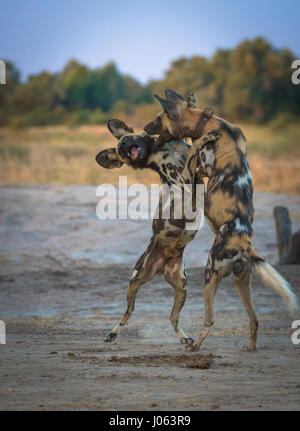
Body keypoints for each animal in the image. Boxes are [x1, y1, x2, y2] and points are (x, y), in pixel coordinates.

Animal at [95, 119, 220, 348]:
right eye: (121, 151)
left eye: (126, 139)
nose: (124, 148)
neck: (159, 149)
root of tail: (162, 264)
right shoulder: (185, 179)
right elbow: (197, 152)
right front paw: (208, 136)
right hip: (135, 283)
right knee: (128, 313)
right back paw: (112, 333)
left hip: (182, 287)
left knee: (172, 318)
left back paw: (185, 338)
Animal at [144, 89, 298, 352]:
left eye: (157, 118)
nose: (144, 128)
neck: (207, 122)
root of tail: (245, 246)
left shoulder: (192, 173)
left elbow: (194, 148)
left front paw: (205, 139)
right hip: (241, 281)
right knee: (255, 319)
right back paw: (250, 346)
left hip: (210, 273)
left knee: (210, 319)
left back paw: (195, 346)